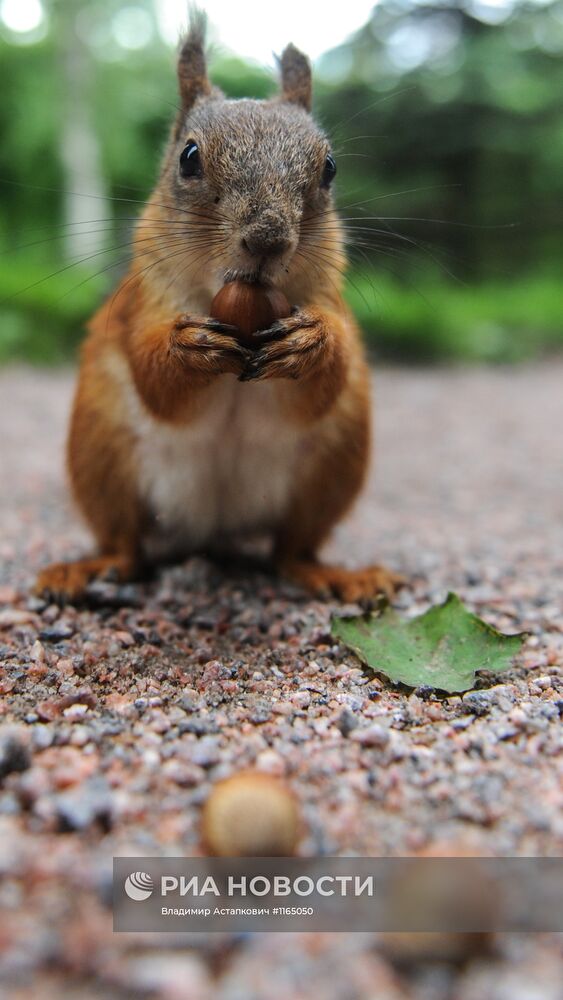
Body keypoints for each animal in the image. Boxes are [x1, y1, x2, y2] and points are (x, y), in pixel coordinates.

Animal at [35, 15, 404, 600]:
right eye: (189, 157)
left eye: (328, 168)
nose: (268, 239)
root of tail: (212, 530)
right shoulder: (144, 302)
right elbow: (154, 380)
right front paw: (190, 347)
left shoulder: (329, 298)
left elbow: (325, 382)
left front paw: (311, 342)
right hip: (101, 455)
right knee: (126, 546)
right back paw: (89, 568)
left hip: (335, 462)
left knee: (290, 551)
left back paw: (334, 574)